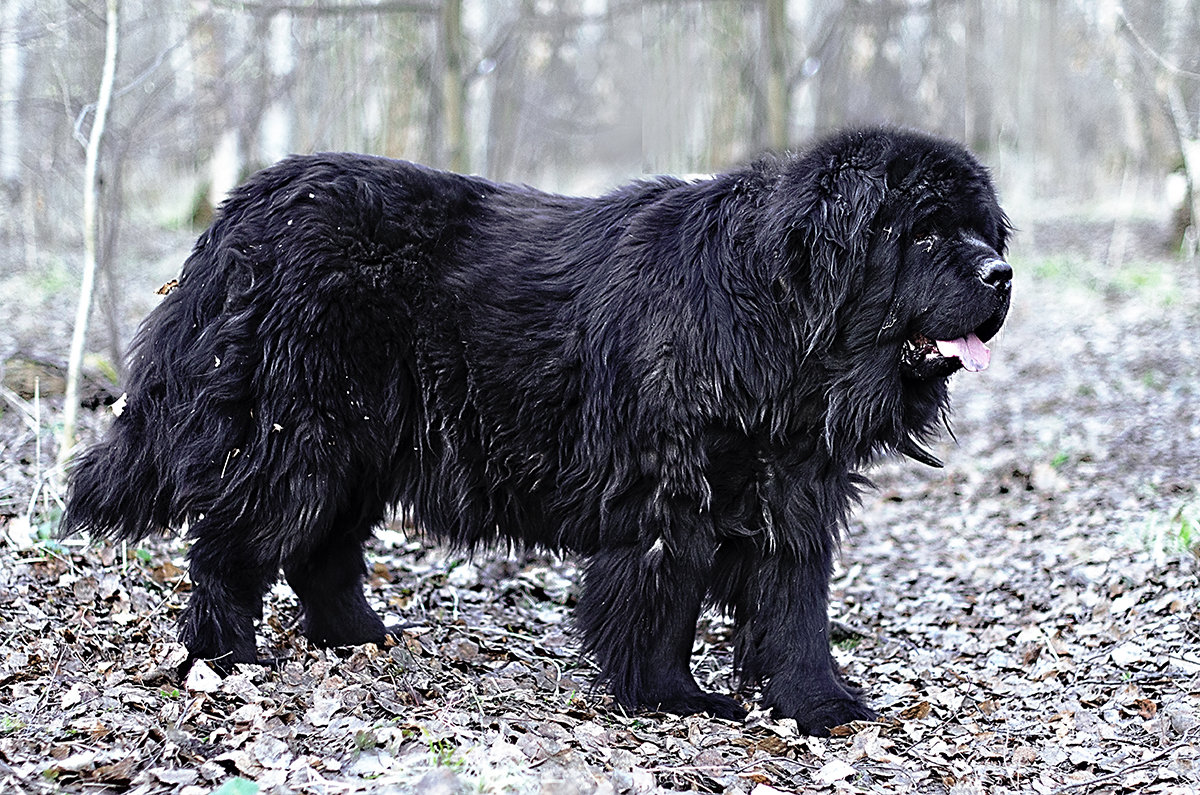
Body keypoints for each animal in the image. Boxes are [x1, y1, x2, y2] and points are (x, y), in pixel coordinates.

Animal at [60, 127, 1008, 739]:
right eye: (926, 234)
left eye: (981, 230)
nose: (1003, 273)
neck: (774, 321)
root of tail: (243, 210)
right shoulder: (669, 497)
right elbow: (665, 601)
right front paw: (674, 697)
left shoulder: (794, 492)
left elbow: (796, 607)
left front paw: (822, 707)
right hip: (302, 434)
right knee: (232, 541)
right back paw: (224, 656)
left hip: (360, 442)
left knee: (317, 551)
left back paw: (362, 636)